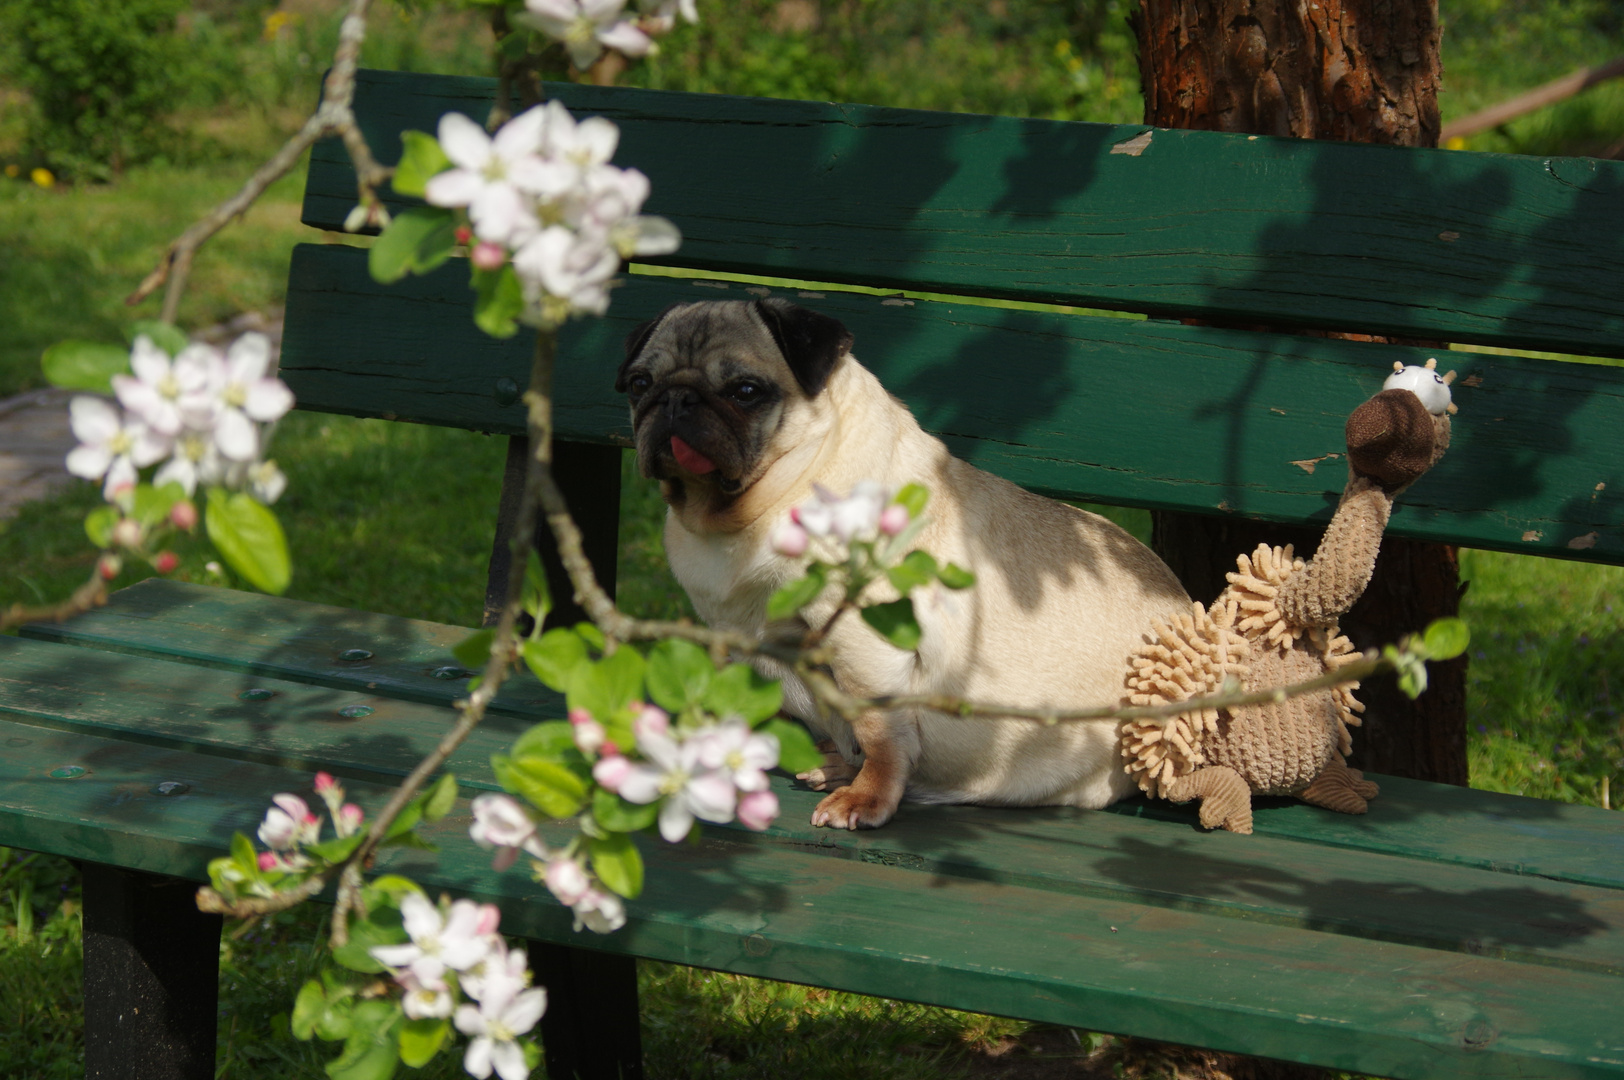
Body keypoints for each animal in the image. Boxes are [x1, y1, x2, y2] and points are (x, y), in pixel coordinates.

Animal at [613, 298, 1188, 828]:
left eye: (745, 391)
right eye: (640, 384)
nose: (676, 398)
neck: (744, 517)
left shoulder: (862, 640)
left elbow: (879, 731)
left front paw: (869, 796)